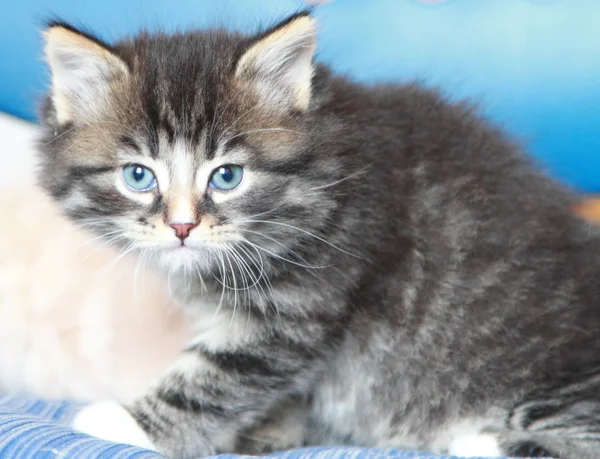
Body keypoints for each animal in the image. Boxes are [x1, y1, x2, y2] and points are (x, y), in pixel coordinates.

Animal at [37, 10, 600, 459]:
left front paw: (124, 423)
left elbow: (213, 376)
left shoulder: (301, 306)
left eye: (227, 176)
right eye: (138, 176)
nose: (181, 226)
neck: (321, 186)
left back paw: (474, 439)